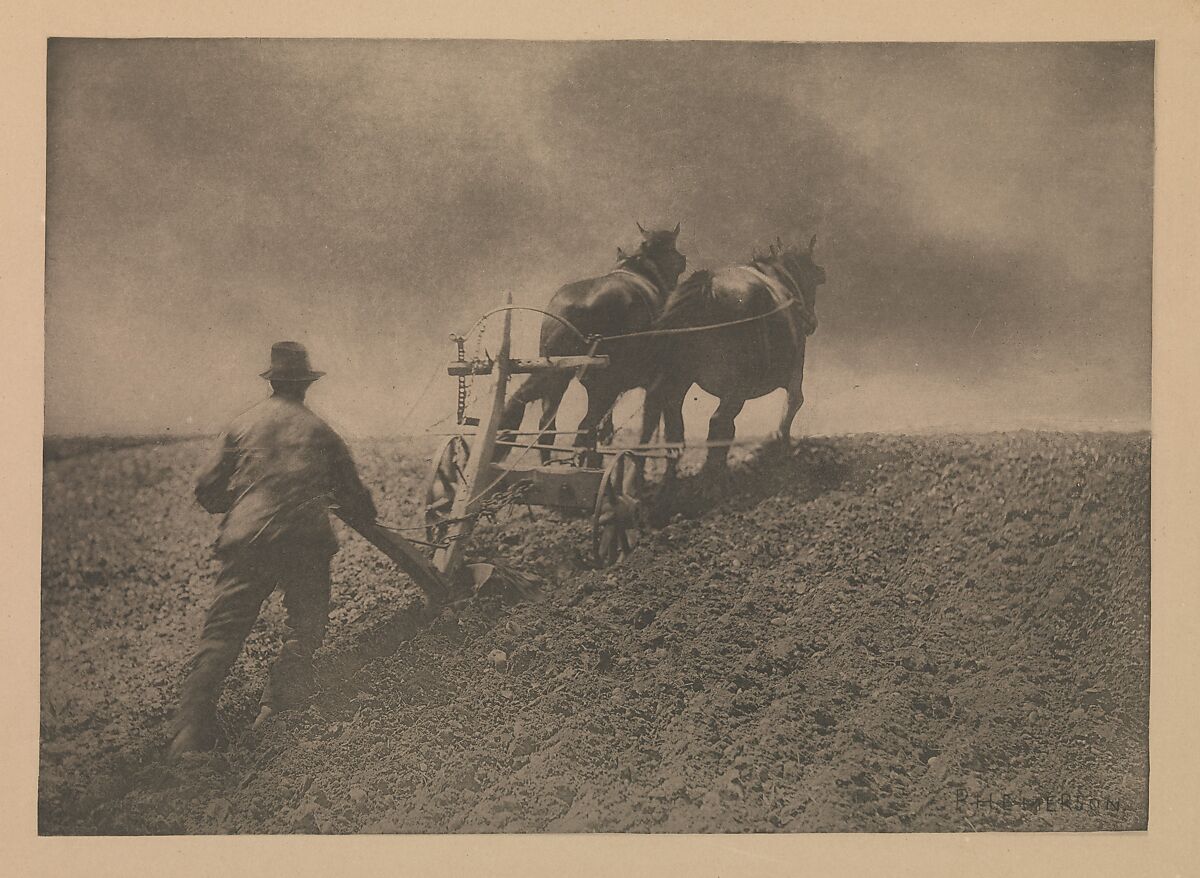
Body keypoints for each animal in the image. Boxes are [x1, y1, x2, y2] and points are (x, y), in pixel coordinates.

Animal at [494, 223, 686, 462]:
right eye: (676, 259)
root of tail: (573, 306)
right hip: (605, 382)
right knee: (585, 427)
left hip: (558, 376)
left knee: (549, 426)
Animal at [643, 236, 830, 484]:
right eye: (812, 281)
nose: (810, 322)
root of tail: (707, 287)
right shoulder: (795, 372)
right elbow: (791, 407)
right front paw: (781, 450)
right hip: (737, 387)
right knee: (717, 422)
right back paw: (713, 475)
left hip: (681, 381)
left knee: (675, 428)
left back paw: (671, 482)